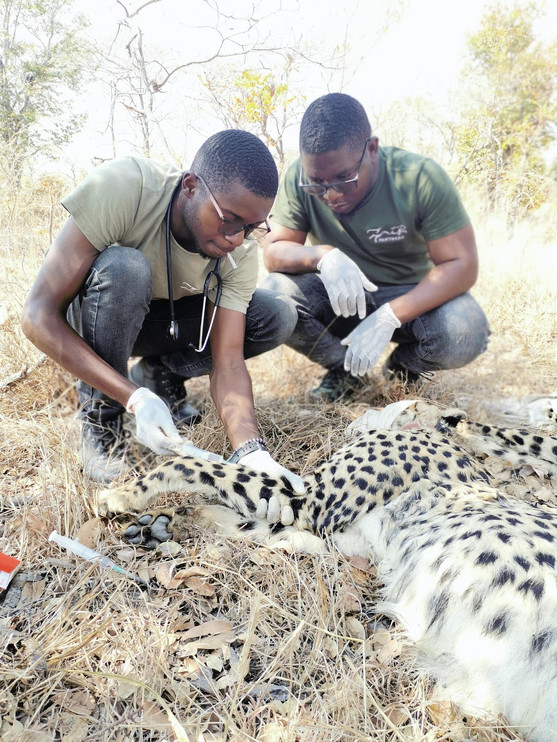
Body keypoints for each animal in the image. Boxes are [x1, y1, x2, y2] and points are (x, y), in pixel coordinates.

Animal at [97, 401, 557, 742]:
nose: (354, 412)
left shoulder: (307, 503)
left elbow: (193, 467)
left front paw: (124, 494)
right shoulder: (342, 537)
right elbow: (256, 525)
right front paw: (166, 524)